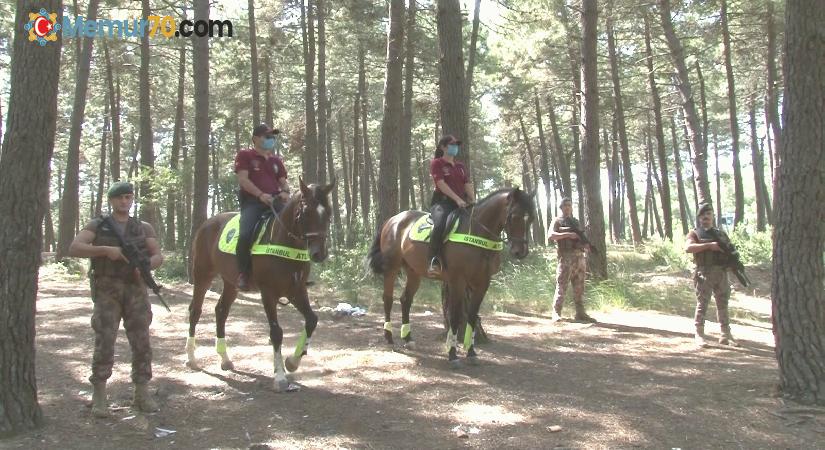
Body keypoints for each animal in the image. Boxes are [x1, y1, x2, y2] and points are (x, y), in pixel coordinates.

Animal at [185, 178, 334, 390]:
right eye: (305, 212)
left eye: (328, 213)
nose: (319, 253)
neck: (284, 241)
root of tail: (206, 224)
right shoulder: (268, 292)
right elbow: (276, 332)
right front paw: (279, 377)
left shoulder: (296, 290)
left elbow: (312, 320)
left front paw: (292, 362)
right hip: (202, 275)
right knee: (195, 311)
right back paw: (191, 358)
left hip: (231, 283)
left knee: (221, 311)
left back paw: (224, 358)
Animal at [366, 186, 536, 366]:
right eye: (514, 216)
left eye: (531, 218)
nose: (521, 252)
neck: (477, 233)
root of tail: (392, 220)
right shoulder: (457, 281)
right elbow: (454, 316)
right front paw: (453, 354)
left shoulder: (483, 283)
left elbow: (472, 316)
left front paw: (471, 352)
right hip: (391, 268)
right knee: (388, 299)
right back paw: (389, 338)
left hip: (414, 271)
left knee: (406, 300)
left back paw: (408, 339)